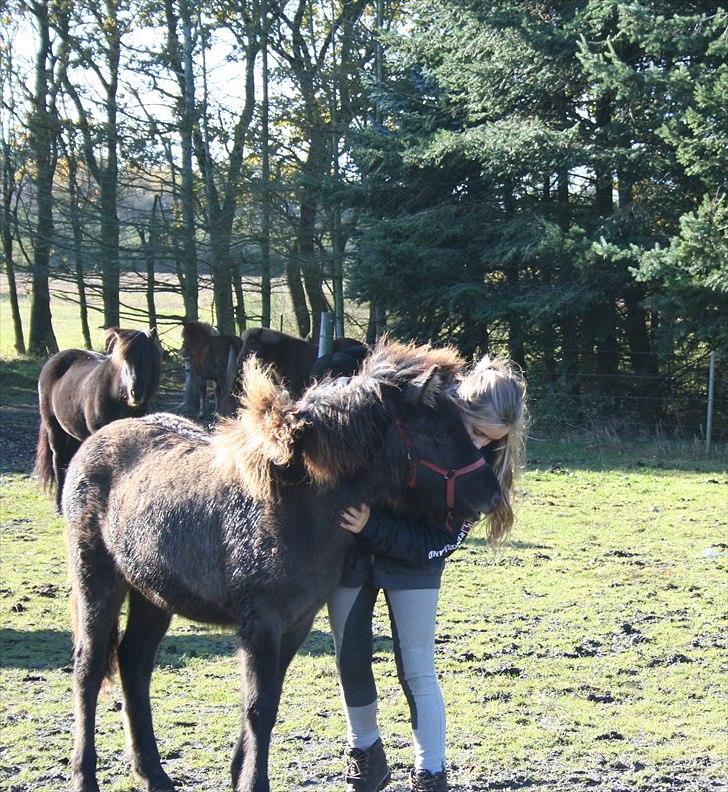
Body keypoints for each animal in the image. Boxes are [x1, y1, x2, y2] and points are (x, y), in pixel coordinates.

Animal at [35, 324, 161, 510]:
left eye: (149, 359)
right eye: (125, 360)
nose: (136, 393)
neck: (116, 397)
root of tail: (54, 359)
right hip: (54, 429)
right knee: (58, 461)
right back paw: (59, 505)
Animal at [62, 338, 500, 792]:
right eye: (441, 432)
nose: (491, 493)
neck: (298, 503)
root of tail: (93, 444)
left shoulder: (296, 623)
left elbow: (267, 701)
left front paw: (239, 774)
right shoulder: (262, 623)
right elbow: (260, 707)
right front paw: (253, 781)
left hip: (152, 594)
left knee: (134, 663)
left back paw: (153, 773)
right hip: (98, 581)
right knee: (88, 670)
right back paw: (84, 775)